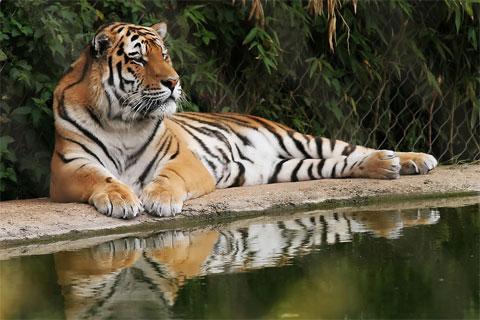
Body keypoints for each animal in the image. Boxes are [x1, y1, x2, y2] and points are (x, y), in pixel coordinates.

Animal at [49, 21, 438, 219]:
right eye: (138, 59)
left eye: (165, 55)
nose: (174, 82)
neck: (123, 121)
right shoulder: (68, 167)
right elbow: (99, 177)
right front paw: (121, 198)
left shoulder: (183, 160)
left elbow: (169, 178)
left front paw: (159, 199)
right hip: (286, 167)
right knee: (340, 163)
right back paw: (385, 166)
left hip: (300, 139)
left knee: (351, 148)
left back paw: (412, 160)